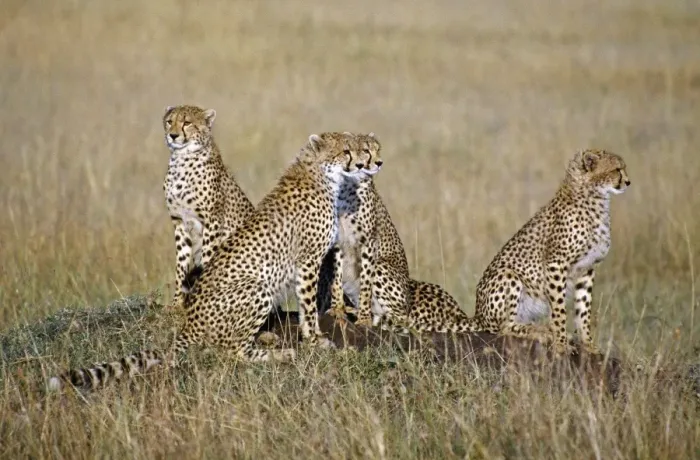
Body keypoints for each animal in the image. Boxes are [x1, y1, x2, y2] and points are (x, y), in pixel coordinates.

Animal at [48, 132, 377, 391]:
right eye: (346, 150)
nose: (363, 164)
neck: (320, 174)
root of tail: (189, 323)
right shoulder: (308, 261)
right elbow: (308, 309)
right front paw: (316, 341)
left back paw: (267, 339)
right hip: (256, 287)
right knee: (231, 351)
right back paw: (278, 354)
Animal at [162, 105, 255, 311]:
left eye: (187, 123)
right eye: (169, 121)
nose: (172, 135)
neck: (182, 159)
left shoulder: (212, 221)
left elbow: (207, 258)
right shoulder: (179, 221)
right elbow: (181, 265)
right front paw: (176, 303)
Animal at [470, 149, 630, 354]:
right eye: (617, 169)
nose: (628, 182)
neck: (594, 197)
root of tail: (477, 314)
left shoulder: (587, 268)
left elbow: (583, 309)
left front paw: (588, 344)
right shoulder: (556, 264)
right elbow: (559, 309)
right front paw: (560, 344)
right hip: (507, 274)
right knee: (503, 327)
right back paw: (540, 332)